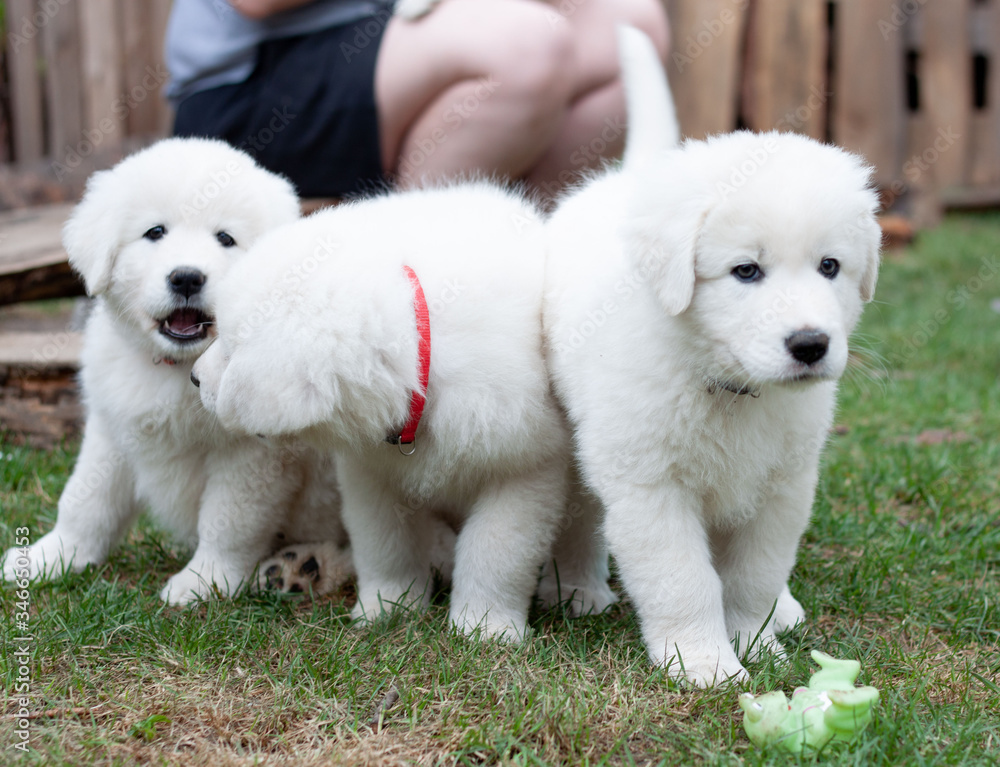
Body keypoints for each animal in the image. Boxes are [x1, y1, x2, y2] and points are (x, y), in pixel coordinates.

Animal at [0, 140, 350, 608]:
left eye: (225, 239)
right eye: (155, 232)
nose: (186, 278)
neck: (178, 368)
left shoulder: (253, 458)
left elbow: (227, 521)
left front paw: (204, 581)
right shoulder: (112, 427)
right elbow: (84, 498)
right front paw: (51, 555)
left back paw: (308, 567)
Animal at [193, 182, 616, 640]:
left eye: (230, 350)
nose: (195, 378)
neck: (419, 359)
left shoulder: (524, 468)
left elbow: (496, 552)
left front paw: (485, 627)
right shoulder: (370, 472)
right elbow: (384, 544)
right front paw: (387, 606)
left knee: (580, 533)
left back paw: (580, 592)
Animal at [540, 28, 884, 684]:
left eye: (829, 266)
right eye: (745, 271)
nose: (810, 345)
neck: (729, 387)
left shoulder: (783, 486)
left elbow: (754, 576)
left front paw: (757, 642)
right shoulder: (651, 486)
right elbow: (685, 582)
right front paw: (704, 664)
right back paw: (582, 590)